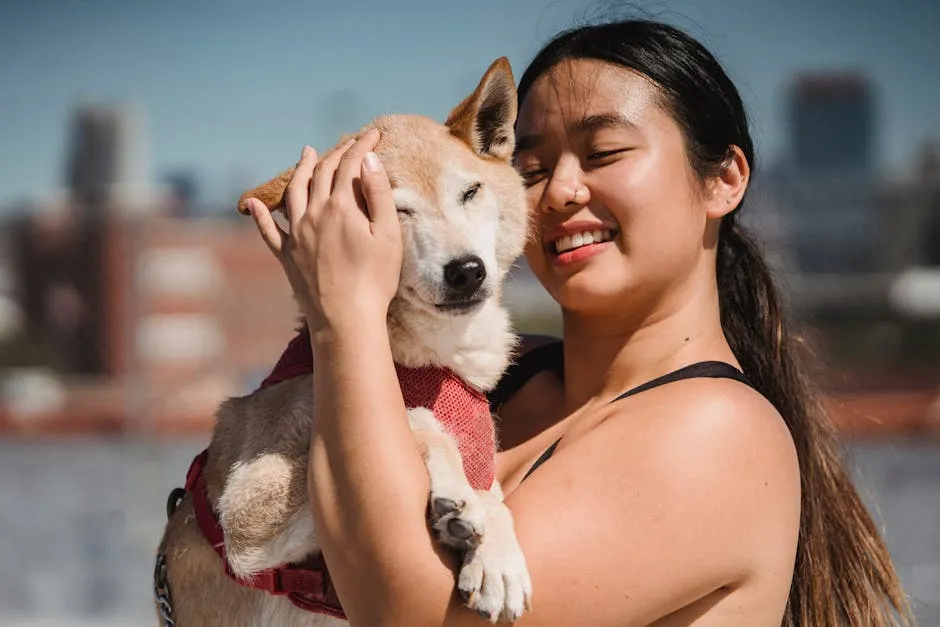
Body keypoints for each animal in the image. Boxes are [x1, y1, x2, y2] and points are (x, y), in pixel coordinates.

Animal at [158, 56, 532, 624]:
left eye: (470, 193)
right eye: (395, 212)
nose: (467, 271)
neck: (429, 360)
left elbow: (495, 493)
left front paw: (496, 554)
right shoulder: (244, 517)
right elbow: (419, 421)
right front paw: (458, 498)